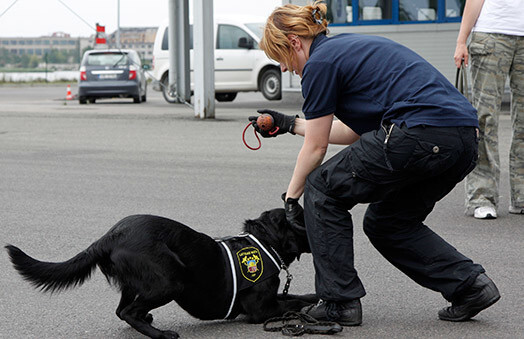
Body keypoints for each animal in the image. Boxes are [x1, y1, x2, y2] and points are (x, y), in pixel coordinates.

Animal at [5, 210, 316, 339]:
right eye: (302, 216)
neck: (265, 241)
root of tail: (109, 237)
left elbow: (300, 296)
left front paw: (316, 300)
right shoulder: (261, 310)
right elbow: (292, 302)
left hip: (139, 281)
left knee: (123, 309)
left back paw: (147, 320)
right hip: (172, 279)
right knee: (127, 311)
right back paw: (161, 334)